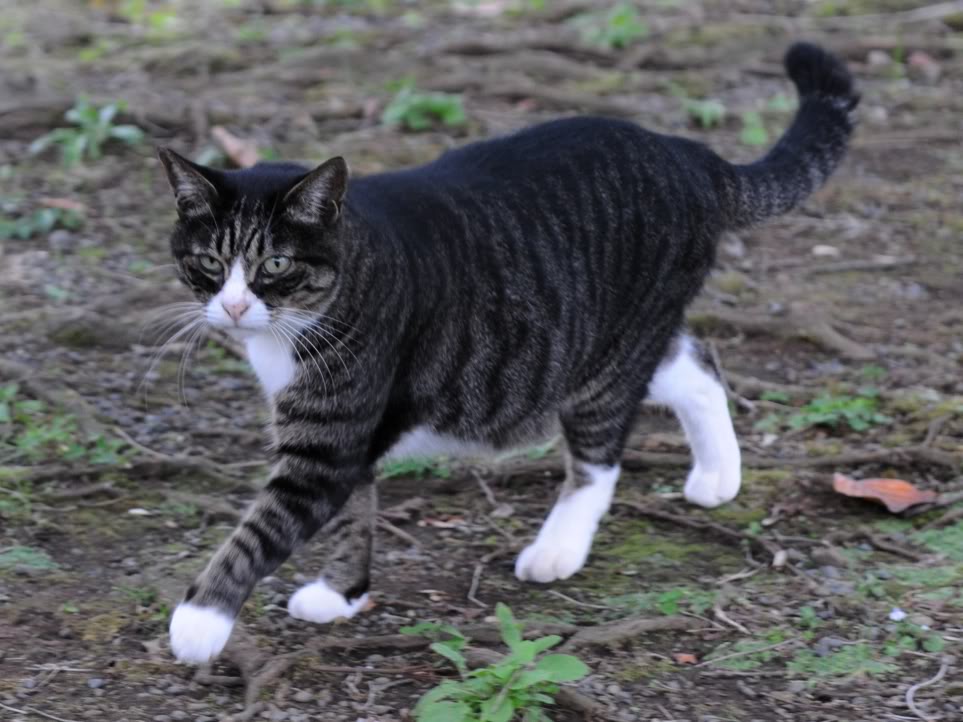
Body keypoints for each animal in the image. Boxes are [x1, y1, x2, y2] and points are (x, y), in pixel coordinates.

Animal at [160, 38, 860, 660]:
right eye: (210, 262)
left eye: (275, 263)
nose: (234, 306)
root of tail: (687, 153)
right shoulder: (341, 434)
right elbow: (354, 512)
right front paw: (342, 593)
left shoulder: (330, 438)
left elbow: (265, 526)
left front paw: (199, 622)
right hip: (602, 342)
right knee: (696, 365)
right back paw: (717, 475)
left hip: (608, 354)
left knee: (601, 458)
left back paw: (559, 549)